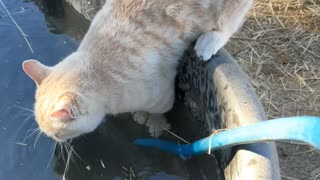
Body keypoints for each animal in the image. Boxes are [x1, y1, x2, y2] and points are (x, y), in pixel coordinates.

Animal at [21, 0, 252, 141]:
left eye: (56, 135)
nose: (56, 141)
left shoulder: (162, 94)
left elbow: (159, 111)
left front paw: (155, 123)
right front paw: (140, 114)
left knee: (230, 22)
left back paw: (209, 41)